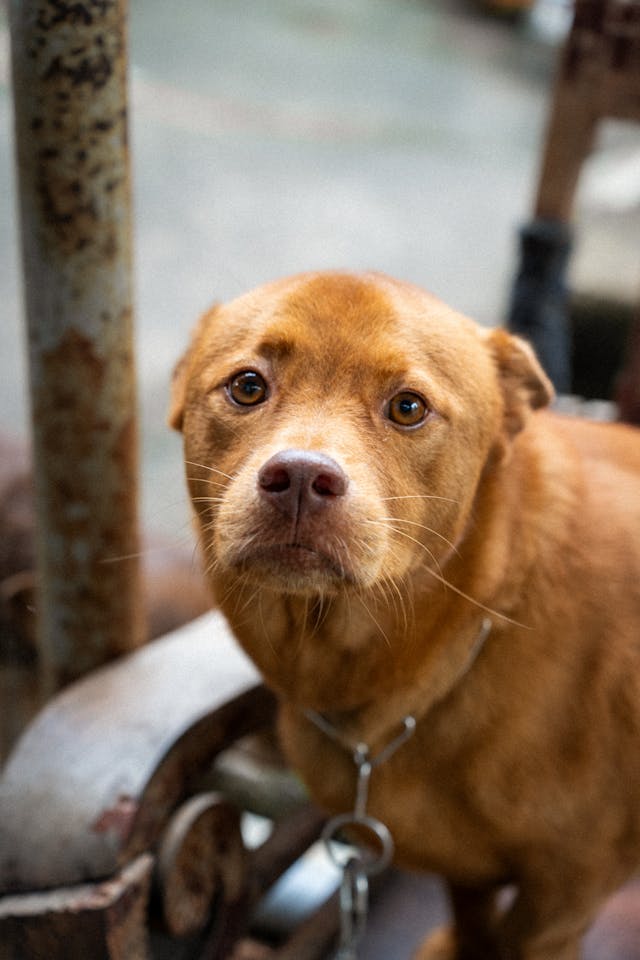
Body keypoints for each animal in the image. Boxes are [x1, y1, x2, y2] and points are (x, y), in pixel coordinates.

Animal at [169, 272, 640, 960]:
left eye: (408, 408)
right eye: (248, 386)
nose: (301, 477)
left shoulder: (564, 896)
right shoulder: (468, 869)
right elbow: (471, 911)